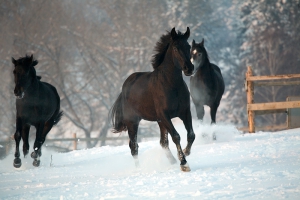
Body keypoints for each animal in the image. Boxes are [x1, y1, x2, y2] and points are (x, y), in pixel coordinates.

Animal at [110, 27, 195, 172]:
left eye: (189, 46)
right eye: (175, 48)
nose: (189, 68)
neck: (171, 84)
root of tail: (124, 89)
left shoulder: (184, 112)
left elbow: (191, 135)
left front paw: (186, 152)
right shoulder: (165, 115)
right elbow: (176, 136)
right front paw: (184, 163)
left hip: (159, 122)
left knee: (162, 142)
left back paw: (172, 161)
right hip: (133, 122)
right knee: (134, 146)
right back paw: (139, 169)